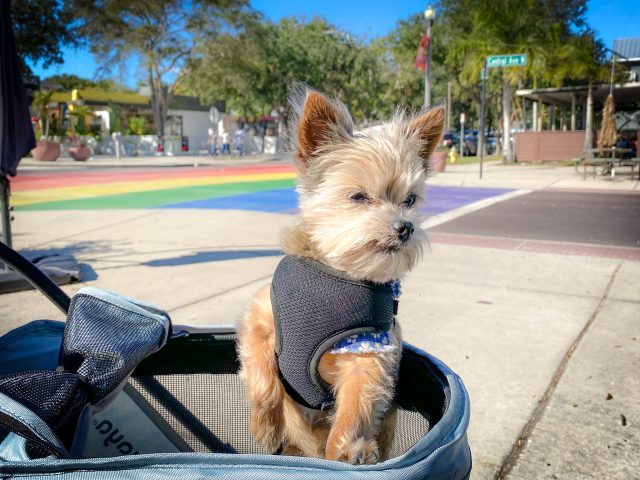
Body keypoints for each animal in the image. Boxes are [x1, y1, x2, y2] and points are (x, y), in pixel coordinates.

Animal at [238, 87, 442, 464]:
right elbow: (263, 378)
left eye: (409, 200)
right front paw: (266, 428)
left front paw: (348, 449)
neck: (338, 271)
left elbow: (354, 407)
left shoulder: (369, 352)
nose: (405, 227)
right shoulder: (259, 321)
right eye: (359, 196)